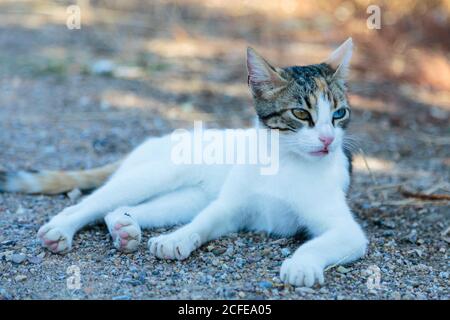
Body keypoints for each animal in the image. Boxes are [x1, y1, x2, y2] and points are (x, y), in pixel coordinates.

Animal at [0, 38, 368, 288]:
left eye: (339, 114)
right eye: (301, 114)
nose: (328, 140)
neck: (284, 161)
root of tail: (148, 143)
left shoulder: (348, 231)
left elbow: (321, 242)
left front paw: (301, 265)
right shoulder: (230, 206)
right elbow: (203, 222)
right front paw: (179, 238)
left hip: (188, 197)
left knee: (119, 210)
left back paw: (125, 229)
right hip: (156, 174)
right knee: (89, 204)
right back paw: (60, 229)